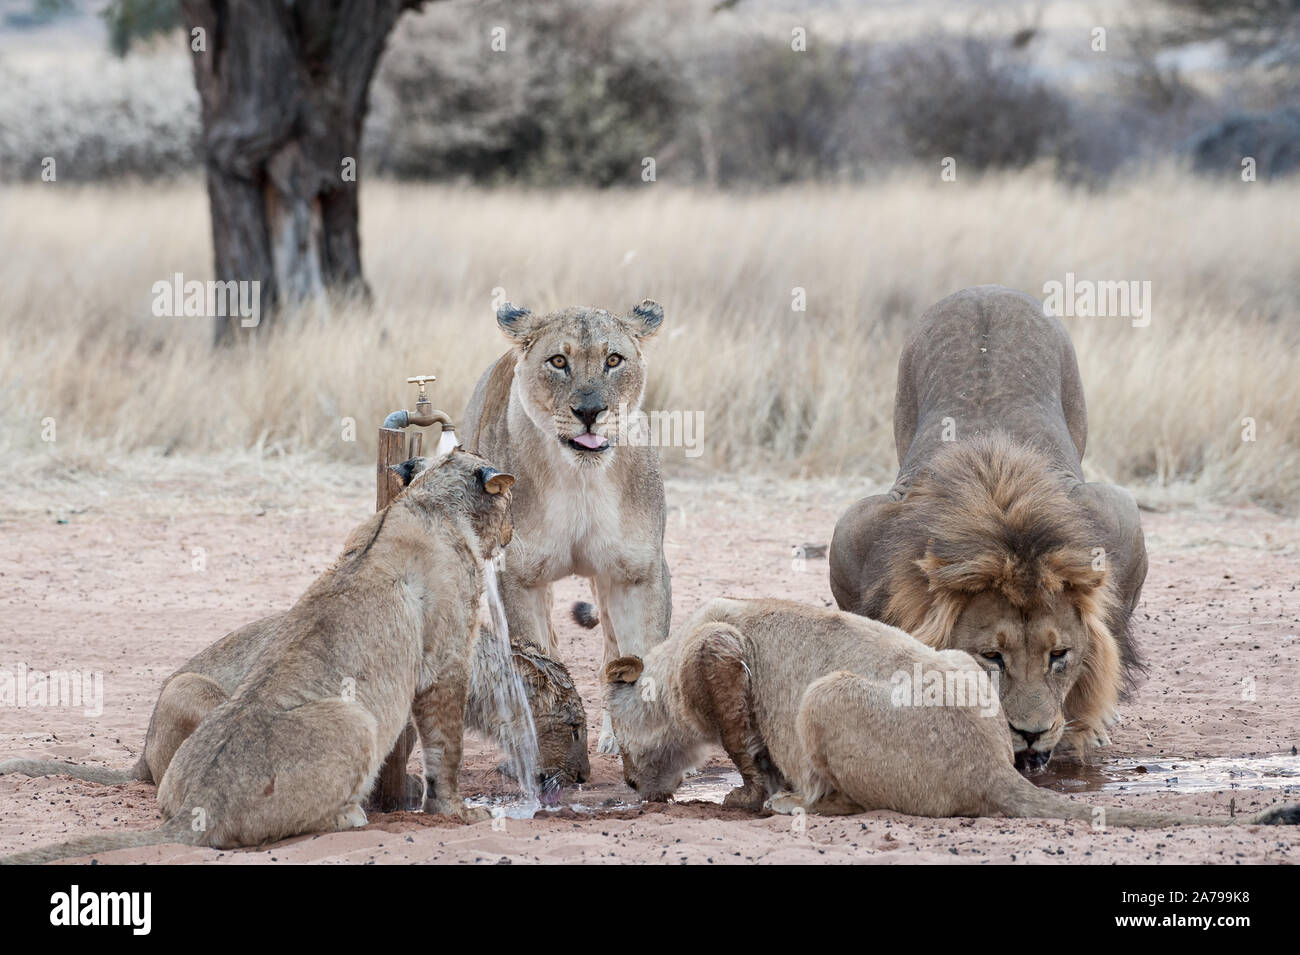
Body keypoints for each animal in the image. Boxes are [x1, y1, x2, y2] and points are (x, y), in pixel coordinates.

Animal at [1, 449, 517, 867]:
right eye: (512, 498)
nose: (513, 532)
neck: (425, 500)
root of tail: (197, 810)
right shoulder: (446, 659)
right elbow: (446, 748)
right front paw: (458, 812)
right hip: (353, 720)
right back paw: (351, 816)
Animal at [460, 300, 670, 753]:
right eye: (558, 361)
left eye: (614, 360)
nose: (589, 412)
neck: (581, 477)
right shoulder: (516, 578)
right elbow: (538, 663)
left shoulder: (639, 573)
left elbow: (642, 657)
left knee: (611, 648)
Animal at [600, 597, 1300, 831]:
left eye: (623, 745)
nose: (632, 783)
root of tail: (989, 765)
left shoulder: (719, 651)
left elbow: (744, 747)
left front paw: (747, 797)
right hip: (963, 662)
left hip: (825, 693)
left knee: (842, 800)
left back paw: (791, 803)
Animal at [826, 287, 1144, 774]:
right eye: (991, 657)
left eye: (1058, 656)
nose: (1030, 734)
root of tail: (986, 289)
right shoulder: (855, 536)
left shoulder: (1119, 520)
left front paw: (1085, 730)